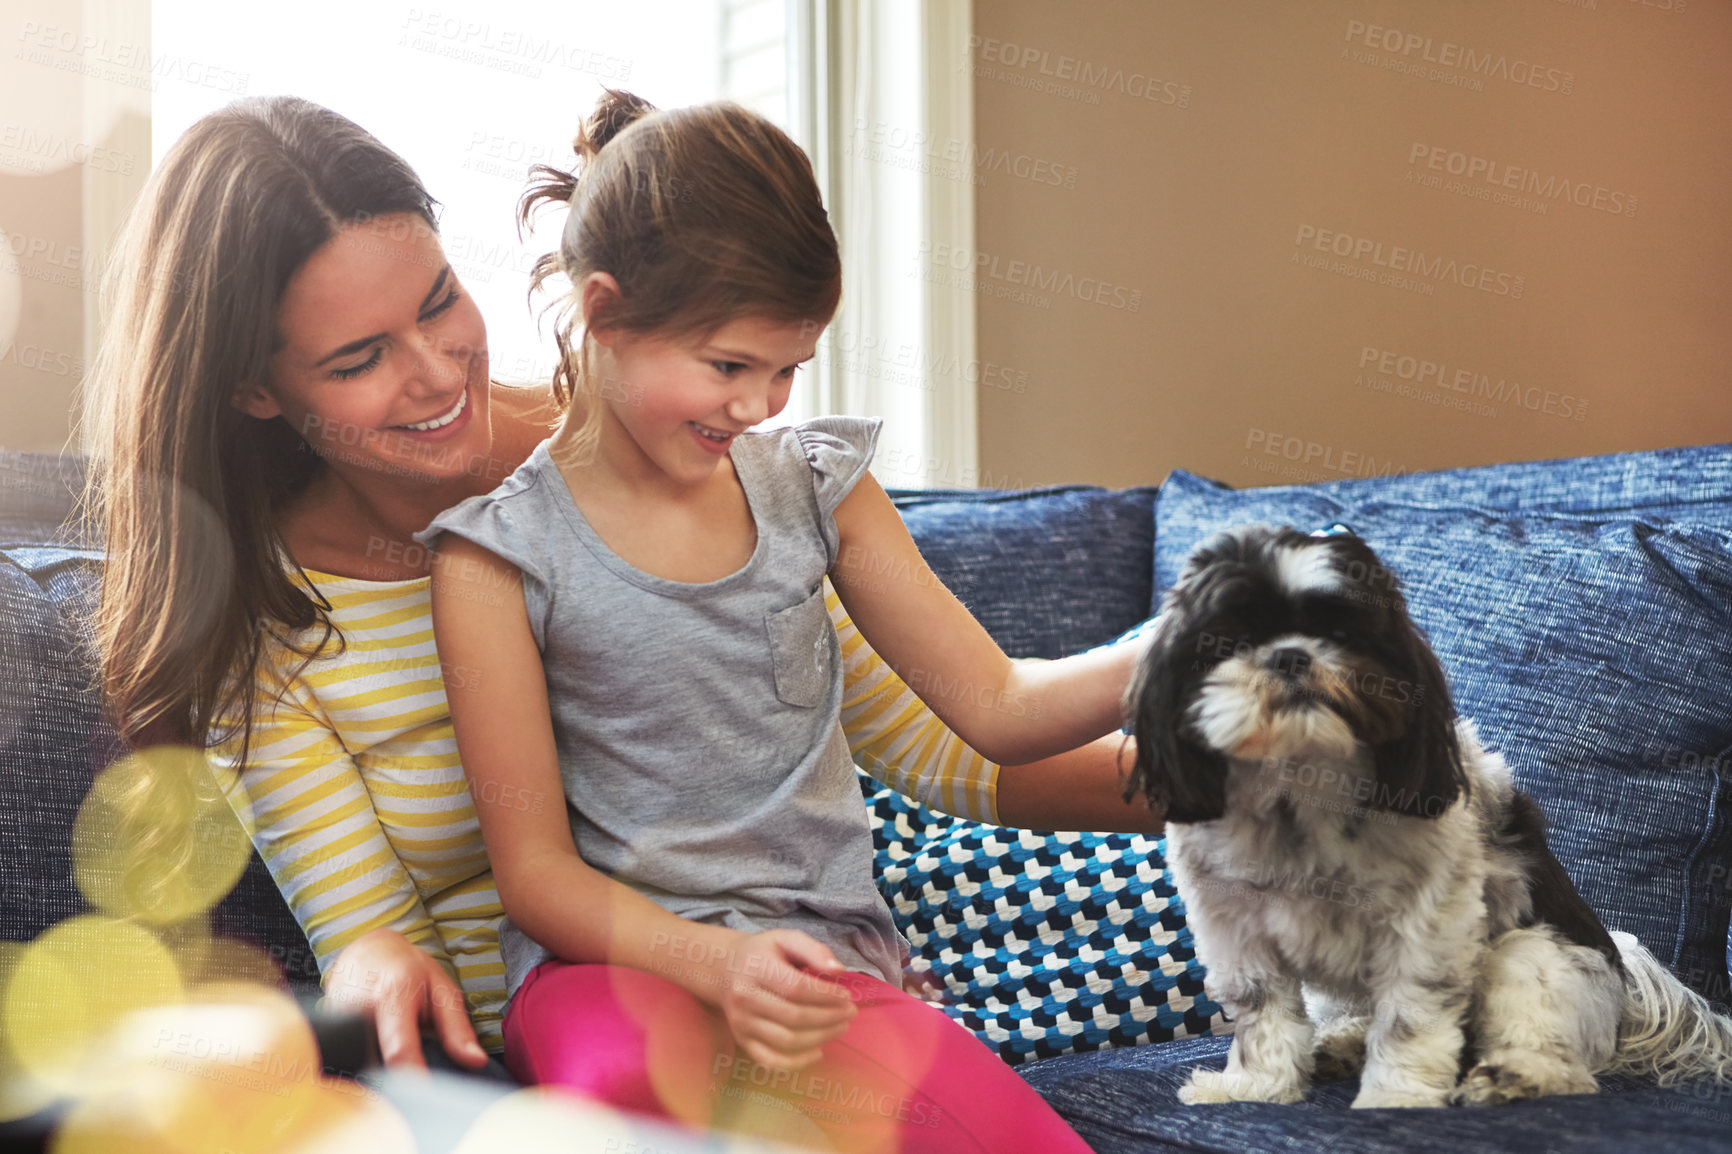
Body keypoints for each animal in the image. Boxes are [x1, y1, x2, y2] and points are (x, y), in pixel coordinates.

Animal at [1122, 523, 1732, 1108]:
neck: (1304, 786)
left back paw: (1516, 1076)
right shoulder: (1238, 932)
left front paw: (1397, 1097)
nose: (1289, 654)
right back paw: (1342, 1044)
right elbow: (1264, 1015)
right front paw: (1256, 1089)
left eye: (1344, 634)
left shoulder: (1426, 929)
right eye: (1229, 640)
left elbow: (1410, 1019)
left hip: (1533, 954)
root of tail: (1626, 983)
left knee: (1559, 1055)